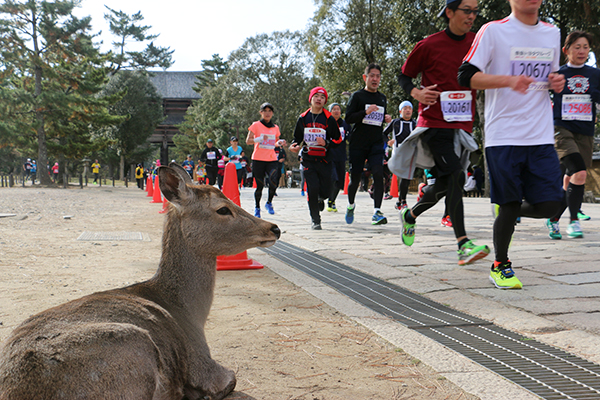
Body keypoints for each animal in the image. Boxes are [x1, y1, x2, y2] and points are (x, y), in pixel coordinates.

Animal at [0, 164, 282, 398]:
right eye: (222, 209)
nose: (274, 228)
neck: (190, 314)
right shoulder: (203, 363)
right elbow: (230, 379)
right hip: (134, 346)